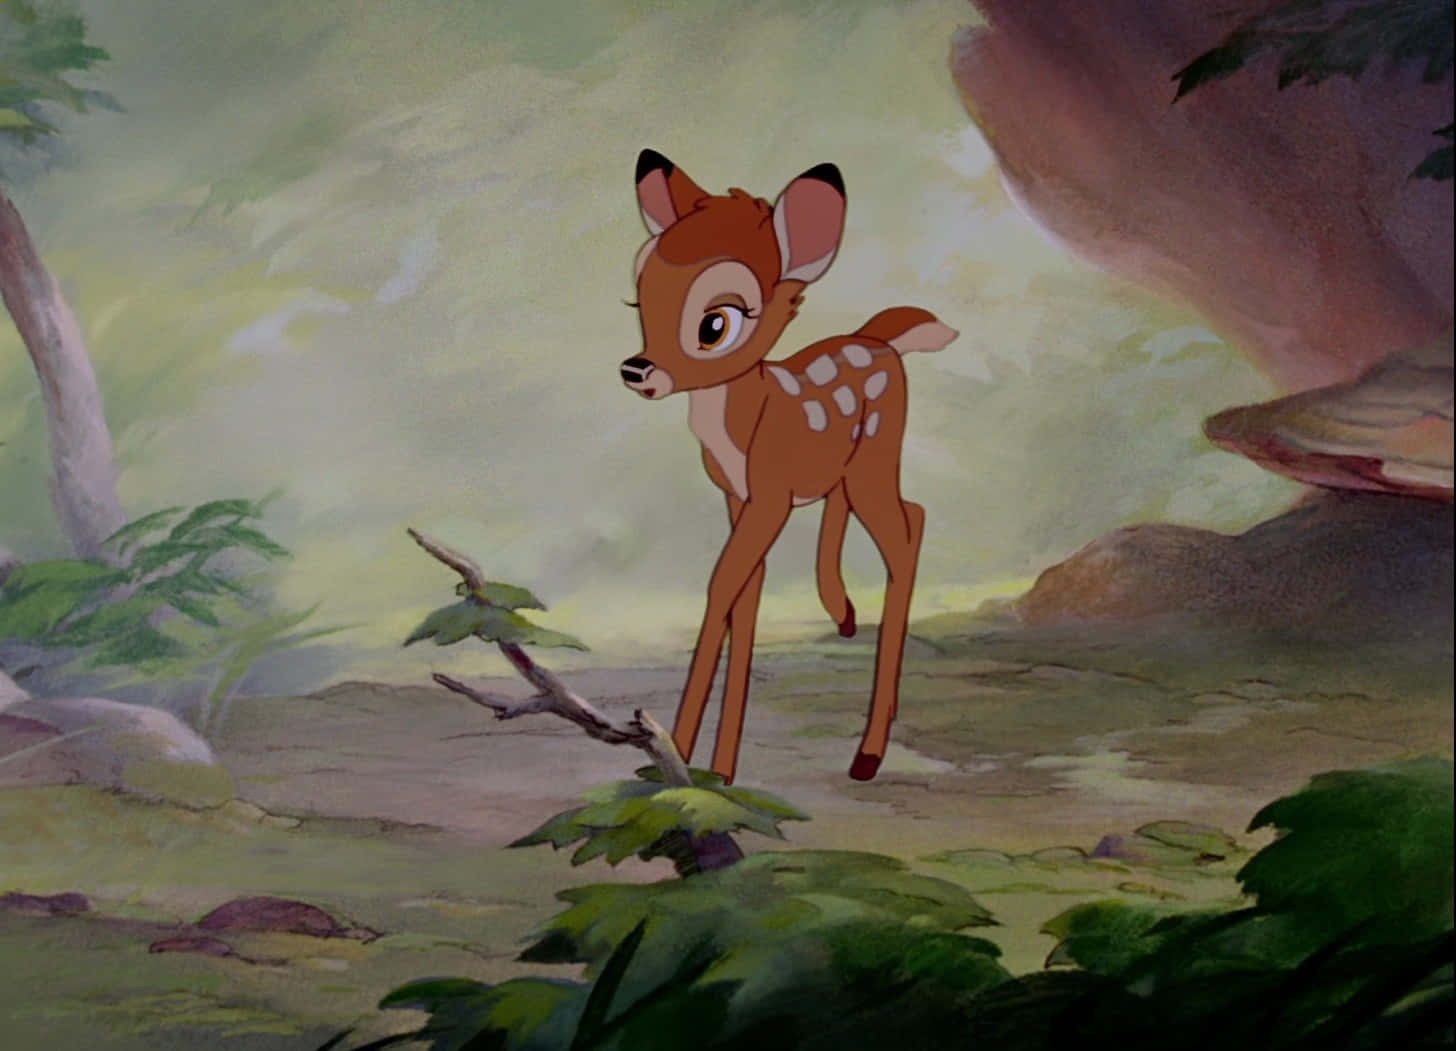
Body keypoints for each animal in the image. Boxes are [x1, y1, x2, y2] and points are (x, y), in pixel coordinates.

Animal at [619, 149, 957, 784]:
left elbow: (721, 584)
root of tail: (882, 343)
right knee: (911, 512)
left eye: (716, 323)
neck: (745, 422)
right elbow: (747, 592)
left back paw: (868, 754)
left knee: (904, 534)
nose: (637, 369)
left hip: (875, 455)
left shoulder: (770, 494)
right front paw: (702, 761)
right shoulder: (738, 496)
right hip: (852, 467)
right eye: (638, 299)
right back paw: (843, 614)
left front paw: (688, 758)